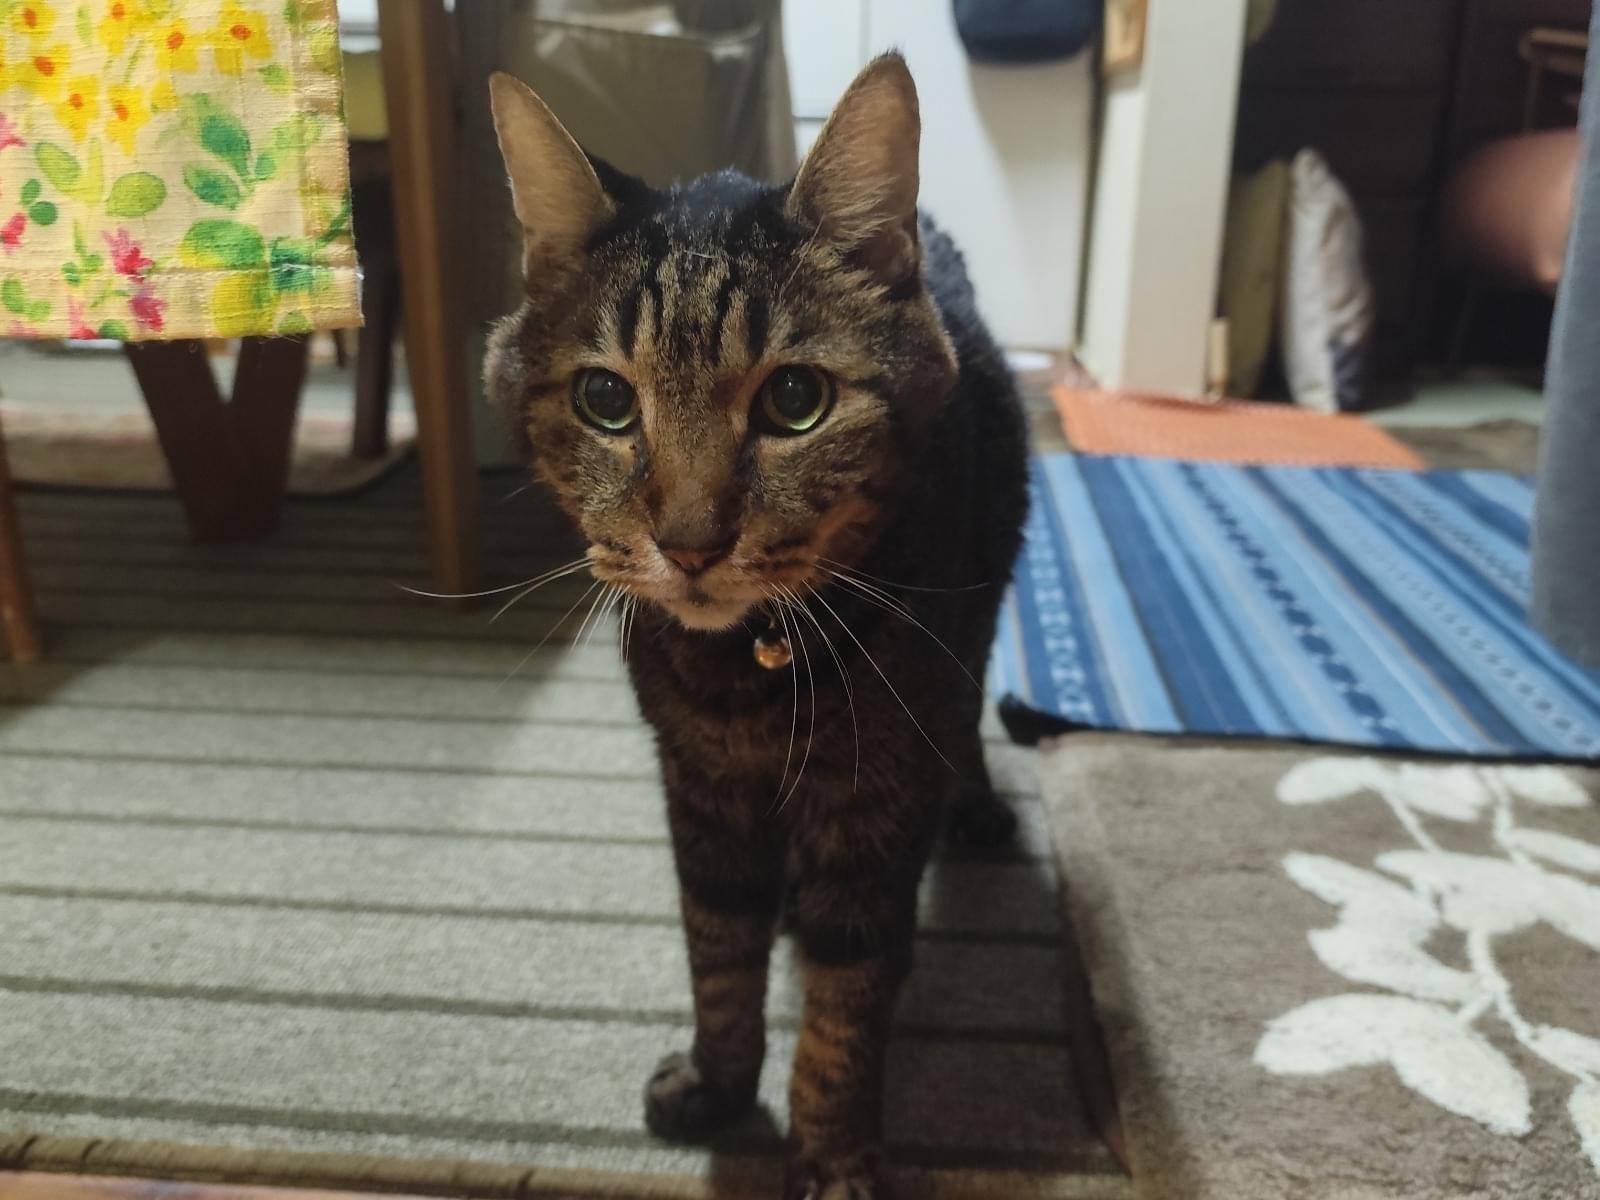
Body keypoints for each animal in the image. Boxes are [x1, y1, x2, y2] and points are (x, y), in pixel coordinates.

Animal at [484, 53, 1029, 1199]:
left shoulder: (873, 800)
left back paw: (974, 806)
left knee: (964, 723)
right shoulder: (699, 787)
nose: (690, 542)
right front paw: (720, 1084)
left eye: (794, 400)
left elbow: (846, 996)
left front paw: (830, 1157)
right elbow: (719, 947)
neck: (747, 676)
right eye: (605, 400)